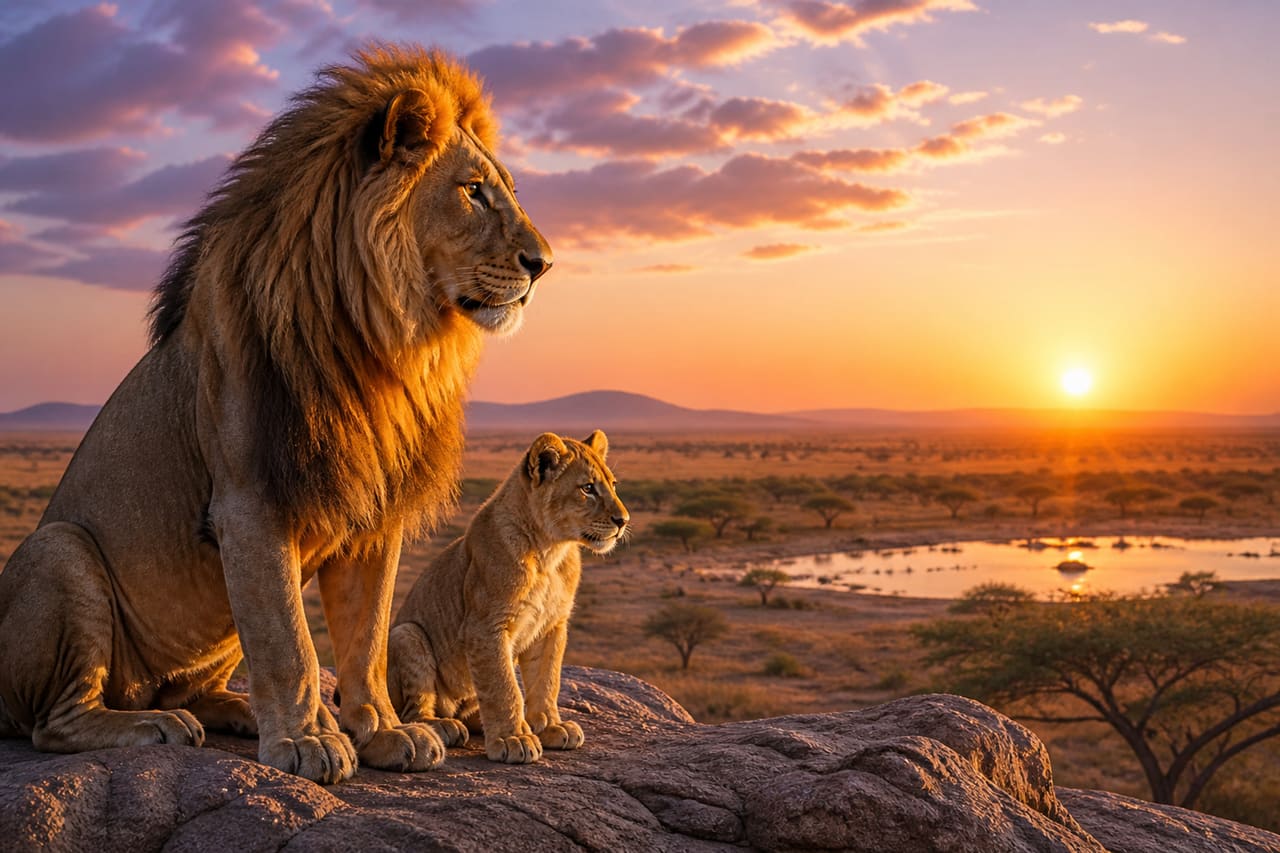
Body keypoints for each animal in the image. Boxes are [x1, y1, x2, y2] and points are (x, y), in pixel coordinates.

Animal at [0, 44, 552, 784]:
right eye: (472, 190)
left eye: (506, 189)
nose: (542, 263)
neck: (382, 346)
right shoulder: (249, 504)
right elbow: (290, 639)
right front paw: (307, 740)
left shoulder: (375, 514)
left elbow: (366, 639)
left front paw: (380, 730)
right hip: (59, 550)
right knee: (55, 720)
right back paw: (151, 726)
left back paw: (231, 709)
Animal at [385, 430, 628, 764]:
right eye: (588, 488)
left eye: (613, 485)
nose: (623, 520)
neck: (549, 551)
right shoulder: (485, 627)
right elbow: (503, 686)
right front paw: (514, 739)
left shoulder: (552, 627)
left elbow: (546, 680)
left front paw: (549, 727)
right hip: (406, 634)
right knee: (413, 711)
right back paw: (444, 726)